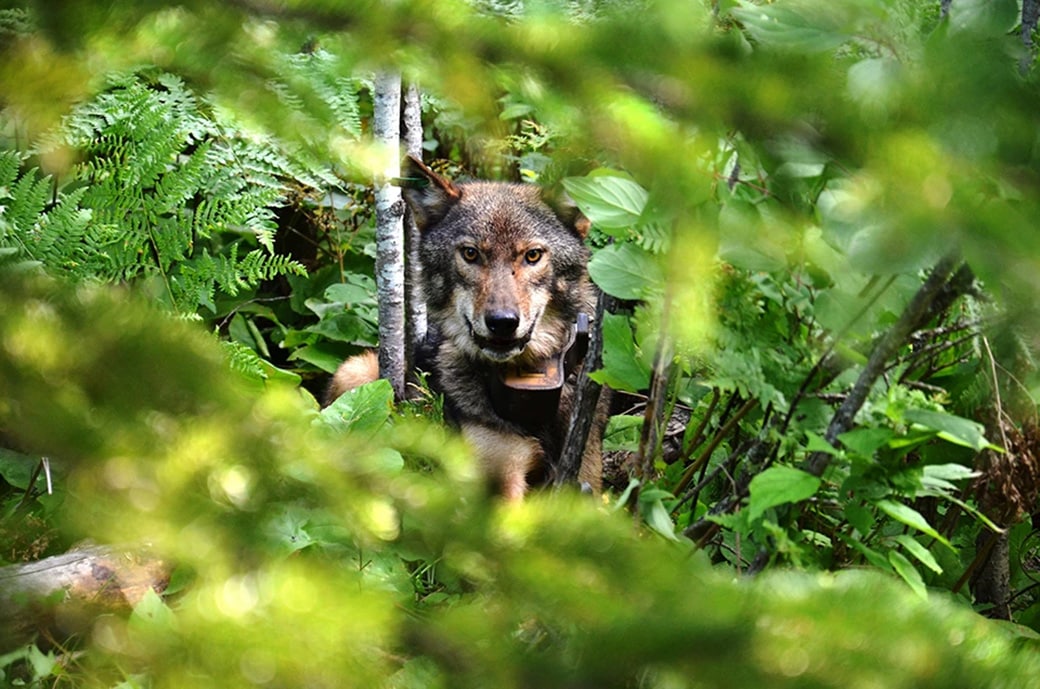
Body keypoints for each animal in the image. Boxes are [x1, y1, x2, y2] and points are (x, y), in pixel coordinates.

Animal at [326, 157, 606, 499]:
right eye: (471, 254)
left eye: (533, 255)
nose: (502, 322)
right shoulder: (501, 472)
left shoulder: (586, 471)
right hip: (354, 371)